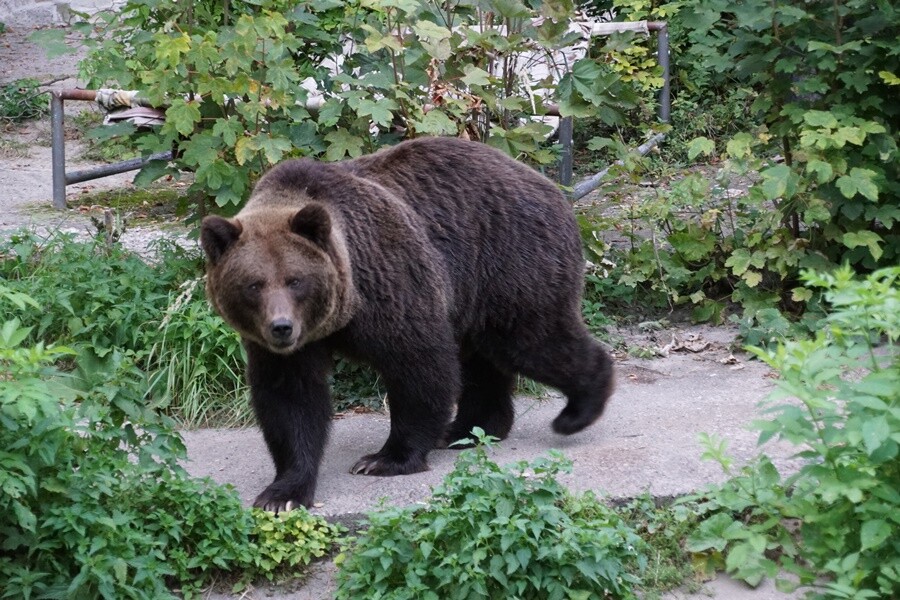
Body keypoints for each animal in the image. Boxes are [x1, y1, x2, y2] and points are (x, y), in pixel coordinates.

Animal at [200, 136, 616, 510]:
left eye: (295, 280)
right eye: (254, 284)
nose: (282, 327)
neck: (343, 311)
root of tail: (553, 188)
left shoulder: (388, 277)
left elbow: (418, 363)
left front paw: (384, 459)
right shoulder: (285, 347)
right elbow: (290, 399)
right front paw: (282, 493)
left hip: (509, 260)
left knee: (532, 341)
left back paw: (577, 410)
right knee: (483, 359)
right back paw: (467, 429)